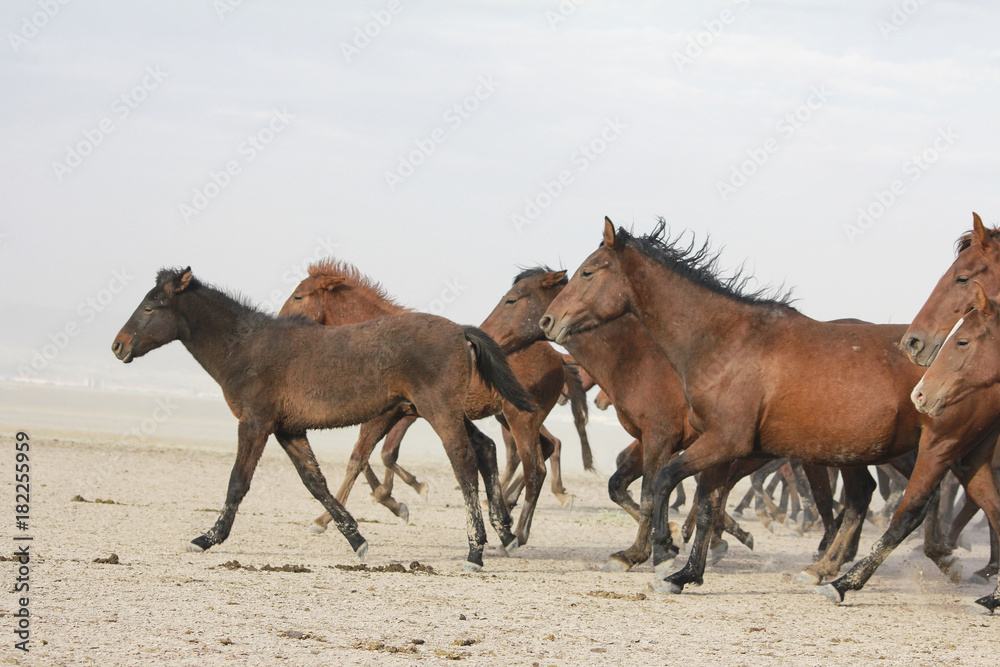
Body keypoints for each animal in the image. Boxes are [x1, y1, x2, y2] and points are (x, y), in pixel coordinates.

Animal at [112, 267, 527, 571]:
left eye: (150, 307)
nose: (118, 345)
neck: (247, 348)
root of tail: (460, 331)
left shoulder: (255, 424)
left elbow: (237, 483)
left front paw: (207, 538)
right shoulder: (289, 430)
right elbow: (316, 483)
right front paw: (357, 540)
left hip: (438, 412)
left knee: (464, 463)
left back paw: (475, 551)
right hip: (440, 411)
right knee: (485, 448)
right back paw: (503, 534)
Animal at [280, 260, 570, 545]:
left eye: (298, 296)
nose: (282, 322)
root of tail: (558, 358)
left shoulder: (387, 415)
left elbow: (360, 459)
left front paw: (324, 520)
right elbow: (372, 458)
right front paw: (394, 502)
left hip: (519, 418)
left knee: (535, 466)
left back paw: (518, 527)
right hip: (511, 417)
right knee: (543, 449)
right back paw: (509, 508)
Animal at [539, 218, 980, 607]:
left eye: (588, 272)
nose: (548, 320)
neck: (725, 341)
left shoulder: (711, 441)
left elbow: (661, 482)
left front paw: (662, 550)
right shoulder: (718, 446)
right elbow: (706, 504)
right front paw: (686, 574)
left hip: (927, 448)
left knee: (908, 507)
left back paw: (850, 579)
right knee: (869, 499)